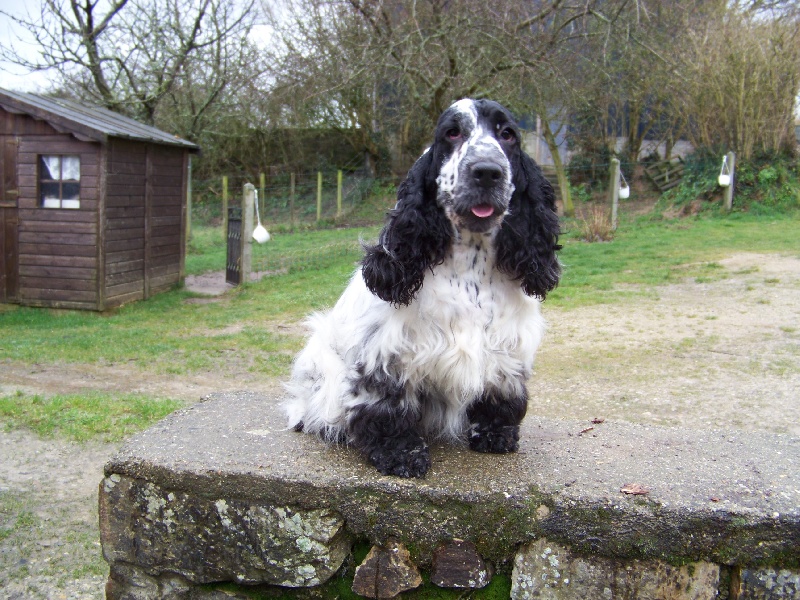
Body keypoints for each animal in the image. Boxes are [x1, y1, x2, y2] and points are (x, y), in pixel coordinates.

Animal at [284, 101, 560, 480]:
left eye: (507, 134)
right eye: (452, 133)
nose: (487, 172)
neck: (470, 263)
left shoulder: (507, 344)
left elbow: (501, 390)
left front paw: (496, 434)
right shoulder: (387, 351)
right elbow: (386, 403)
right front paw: (401, 453)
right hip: (321, 363)